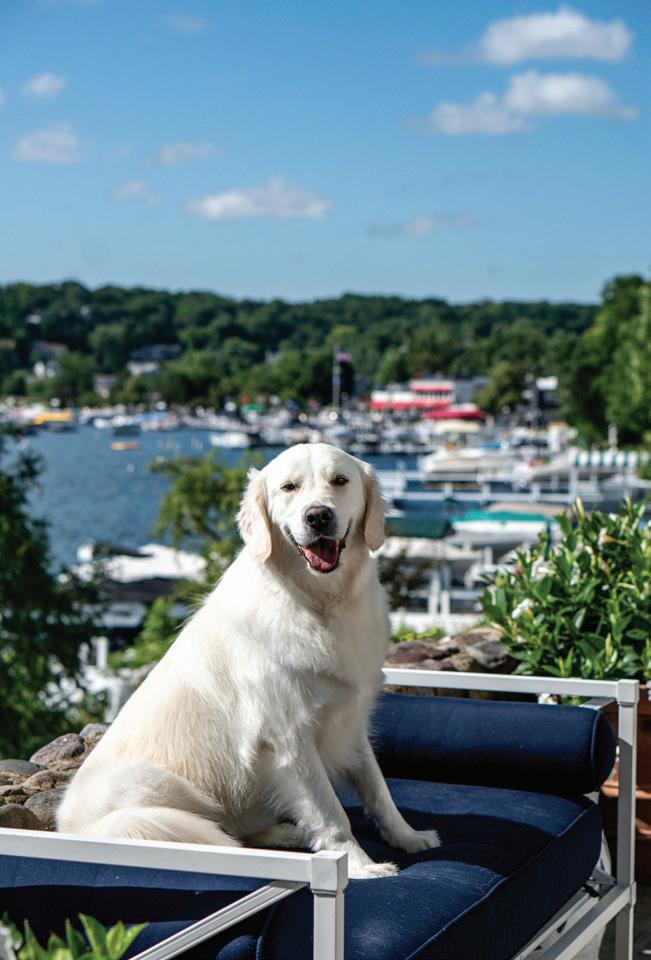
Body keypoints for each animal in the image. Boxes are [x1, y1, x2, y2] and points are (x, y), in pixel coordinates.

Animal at [57, 442, 440, 878]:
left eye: (340, 481)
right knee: (223, 834)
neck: (320, 603)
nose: (318, 515)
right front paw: (357, 865)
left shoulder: (350, 720)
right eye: (289, 487)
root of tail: (74, 833)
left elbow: (378, 790)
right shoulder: (289, 738)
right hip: (150, 791)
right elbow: (332, 813)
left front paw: (409, 837)